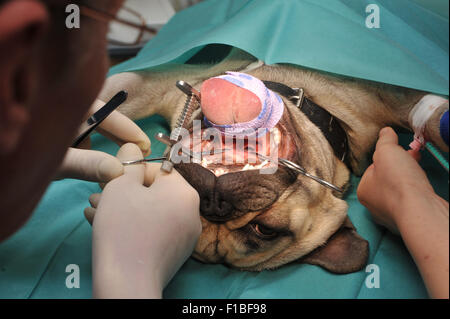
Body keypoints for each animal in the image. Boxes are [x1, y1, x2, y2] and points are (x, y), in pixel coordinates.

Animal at [96, 48, 448, 274]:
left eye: (264, 229)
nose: (212, 202)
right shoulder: (164, 84)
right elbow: (118, 89)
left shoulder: (389, 95)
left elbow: (428, 114)